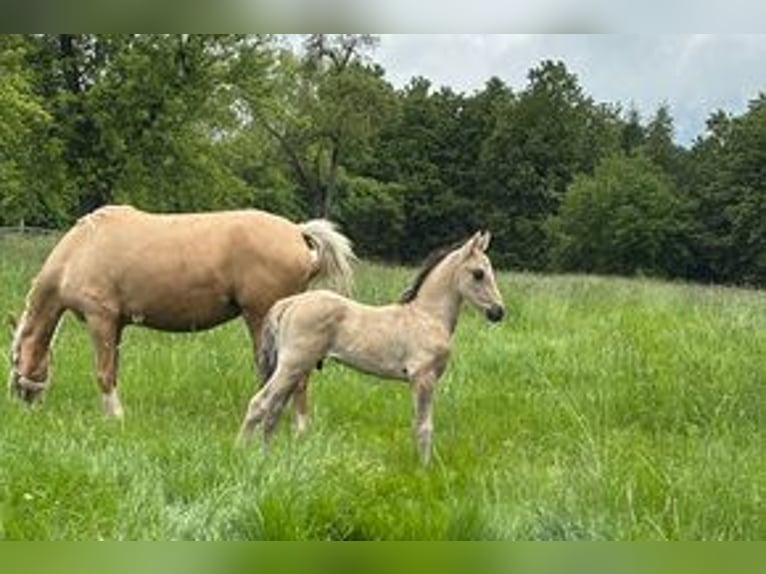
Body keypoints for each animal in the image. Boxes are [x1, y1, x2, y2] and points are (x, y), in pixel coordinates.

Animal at [8, 205, 355, 417]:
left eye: (13, 358)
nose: (19, 401)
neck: (82, 248)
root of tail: (298, 233)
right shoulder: (117, 326)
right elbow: (113, 371)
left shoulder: (100, 320)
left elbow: (103, 373)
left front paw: (116, 417)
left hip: (263, 321)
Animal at [237, 231, 505, 465]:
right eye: (479, 273)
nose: (498, 312)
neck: (427, 316)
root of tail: (290, 302)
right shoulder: (423, 378)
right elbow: (424, 427)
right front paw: (425, 470)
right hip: (293, 365)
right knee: (259, 403)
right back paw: (240, 453)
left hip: (295, 369)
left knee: (273, 409)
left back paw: (264, 457)